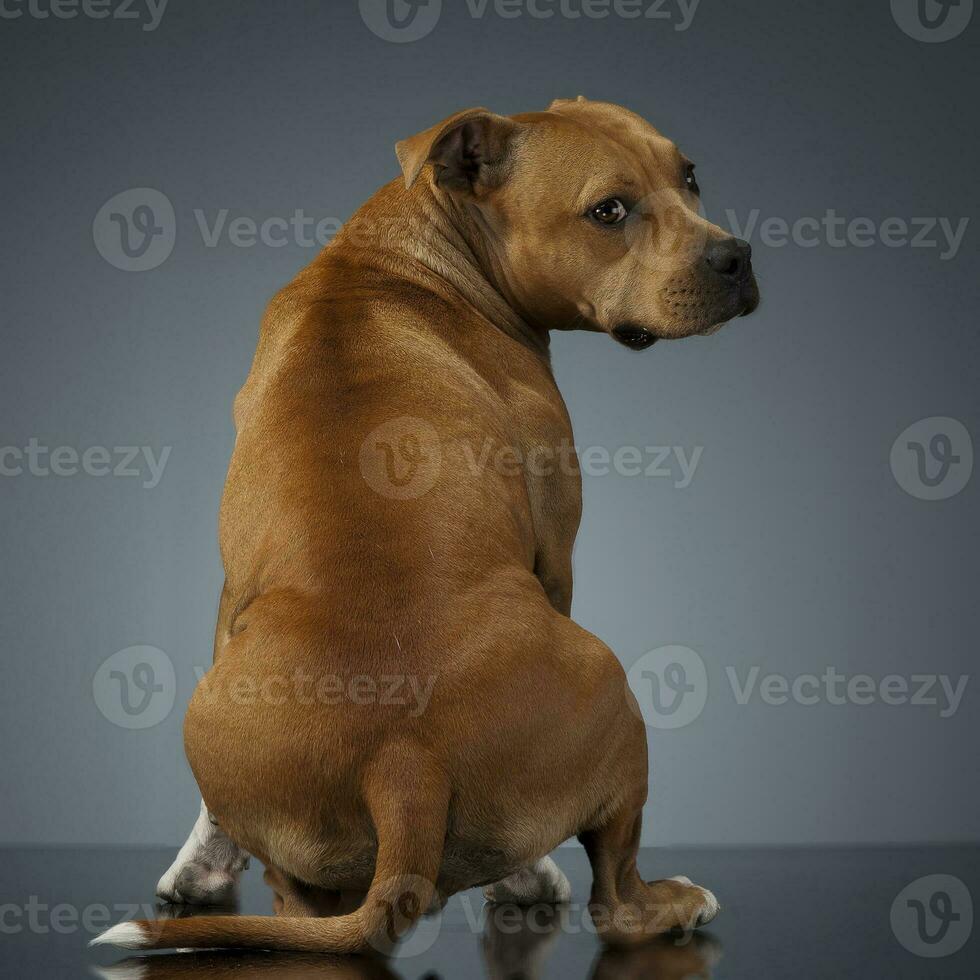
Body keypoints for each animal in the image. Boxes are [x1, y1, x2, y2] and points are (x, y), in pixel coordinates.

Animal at [94, 99, 756, 956]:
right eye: (608, 211)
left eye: (690, 176)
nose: (737, 257)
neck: (397, 259)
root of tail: (405, 761)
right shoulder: (556, 555)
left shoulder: (231, 593)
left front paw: (198, 868)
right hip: (613, 693)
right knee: (614, 897)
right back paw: (646, 898)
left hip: (220, 725)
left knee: (296, 902)